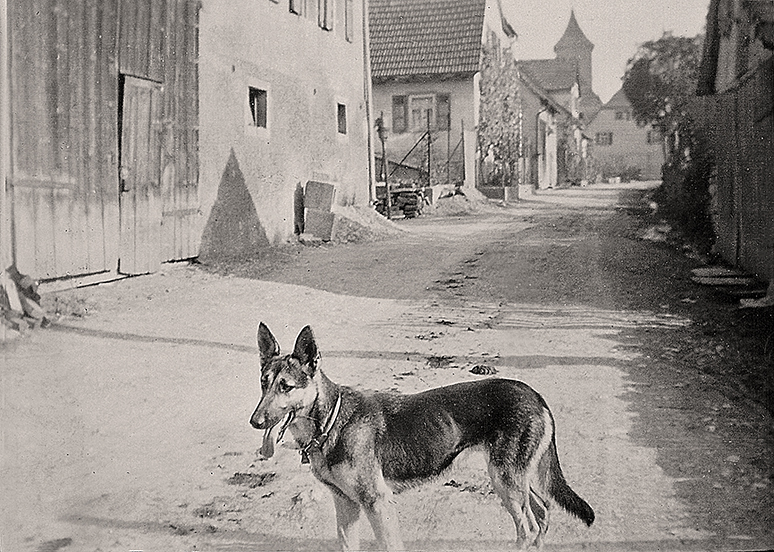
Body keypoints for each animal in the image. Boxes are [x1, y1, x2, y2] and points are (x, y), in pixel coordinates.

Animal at [252, 324, 596, 548]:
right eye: (263, 383)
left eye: (285, 386)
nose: (255, 422)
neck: (331, 422)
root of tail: (534, 394)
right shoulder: (346, 506)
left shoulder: (378, 504)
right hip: (513, 481)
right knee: (542, 513)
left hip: (505, 481)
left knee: (528, 528)